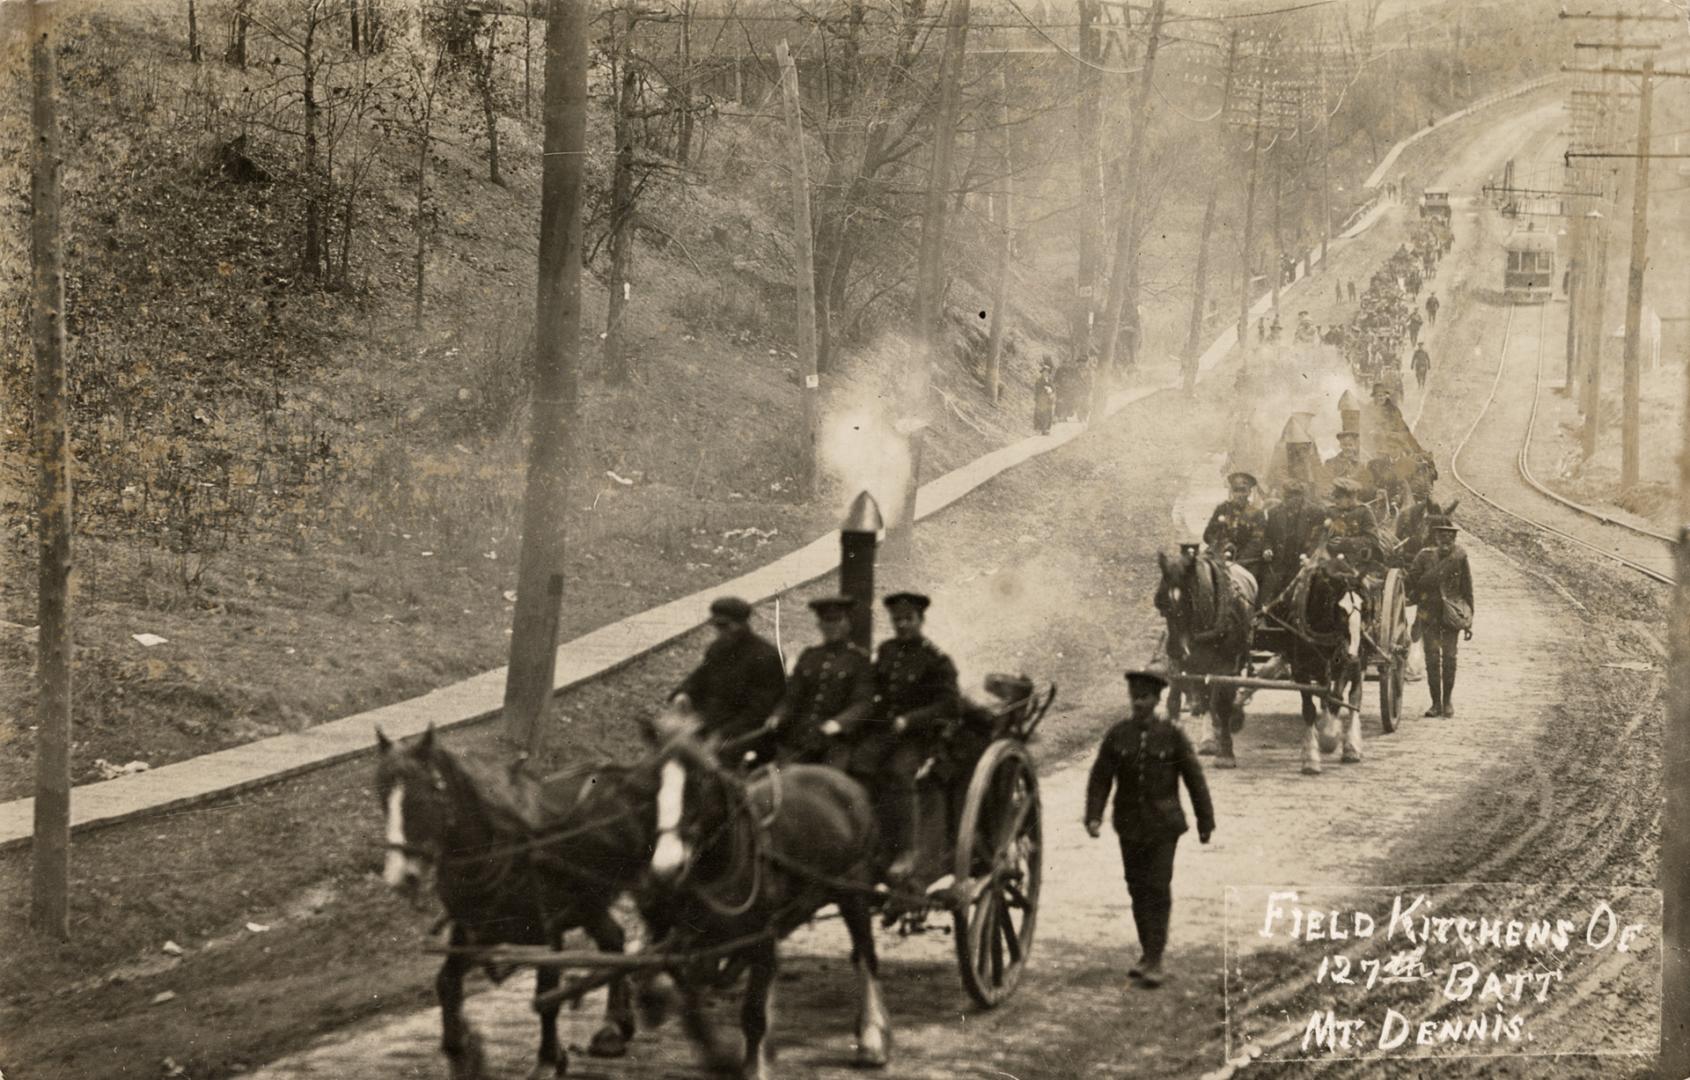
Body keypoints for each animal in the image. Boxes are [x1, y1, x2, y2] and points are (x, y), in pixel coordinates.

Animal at [376, 726, 652, 1080]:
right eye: (383, 794)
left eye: (427, 794)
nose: (401, 875)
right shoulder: (472, 932)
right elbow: (447, 984)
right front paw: (461, 1053)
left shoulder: (549, 934)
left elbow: (546, 998)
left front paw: (548, 1060)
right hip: (588, 902)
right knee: (614, 941)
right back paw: (615, 1027)